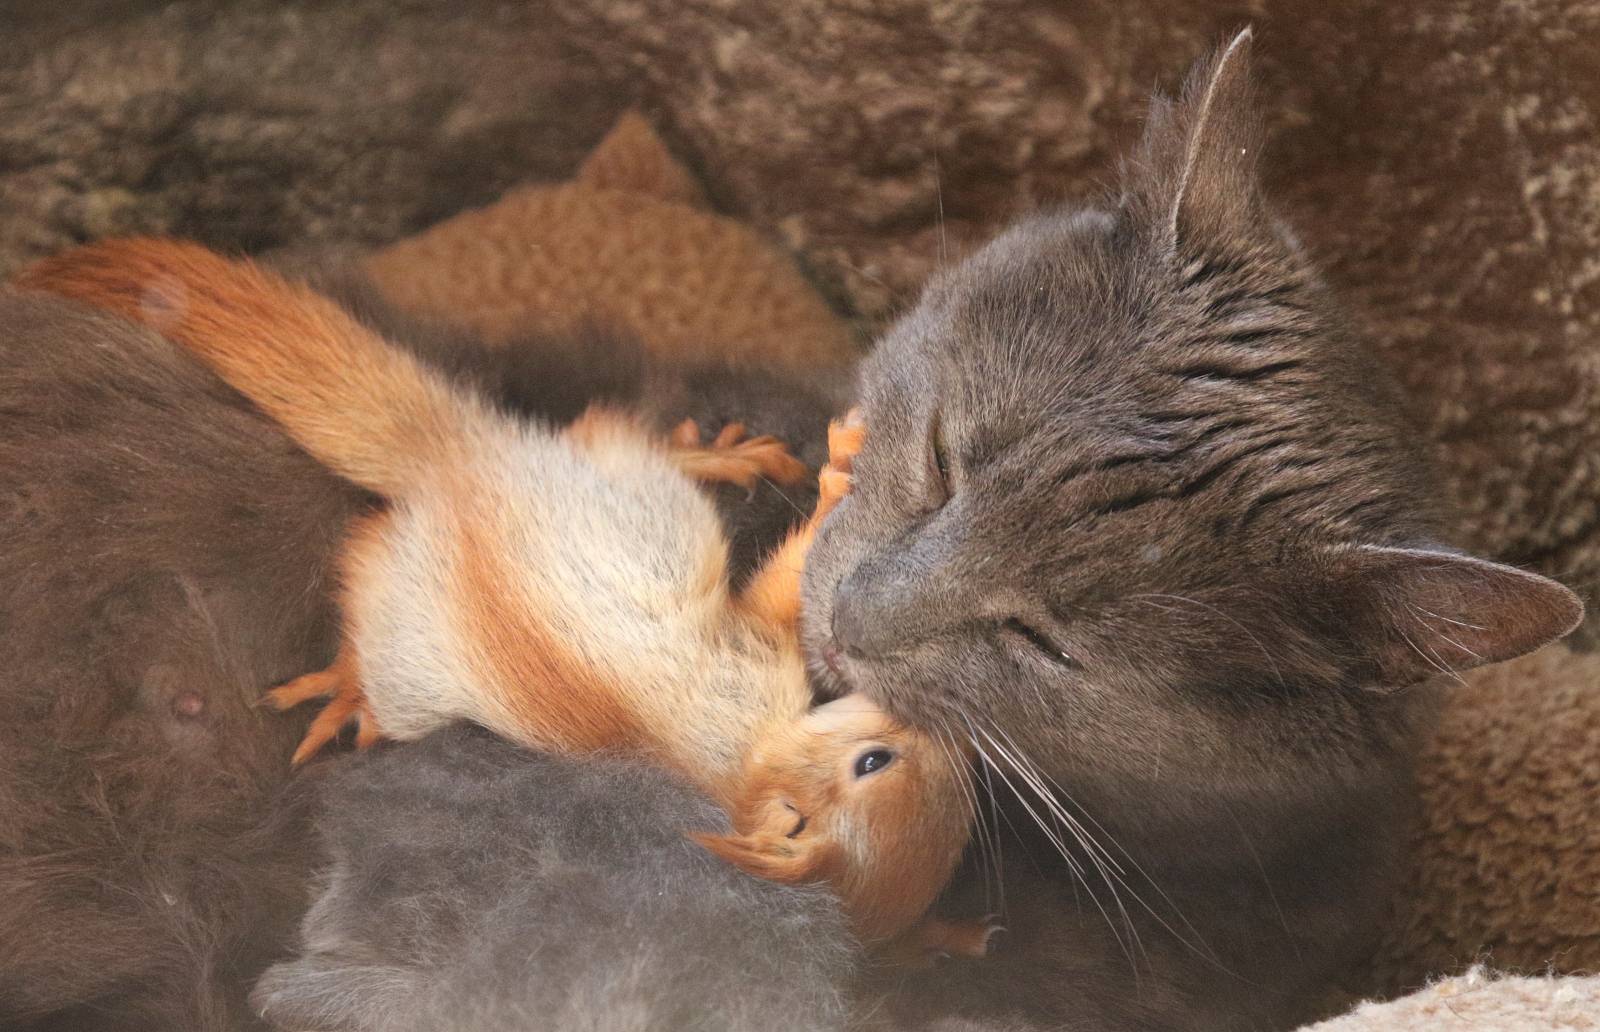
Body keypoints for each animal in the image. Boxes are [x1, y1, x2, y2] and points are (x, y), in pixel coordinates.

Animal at [21, 236, 998, 960]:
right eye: (874, 761)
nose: (948, 730)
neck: (744, 770)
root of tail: (452, 462)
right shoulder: (747, 662)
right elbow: (779, 588)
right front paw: (836, 480)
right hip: (622, 512)